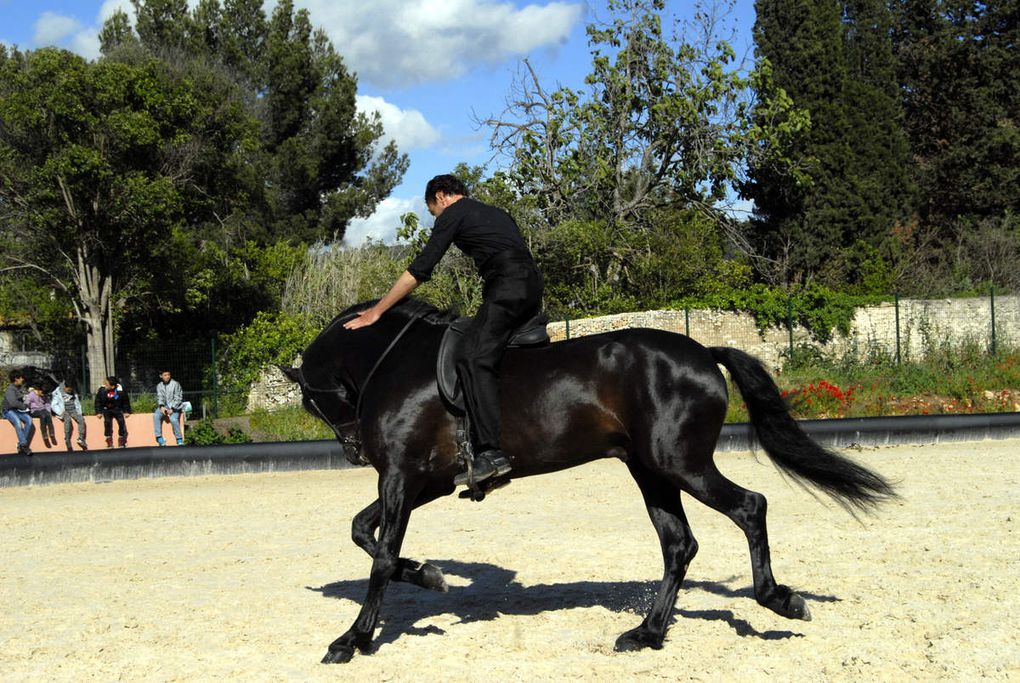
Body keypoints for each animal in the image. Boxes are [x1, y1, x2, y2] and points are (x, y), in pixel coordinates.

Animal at [281, 299, 893, 664]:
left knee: (750, 507)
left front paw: (353, 639)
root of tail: (700, 351)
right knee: (679, 544)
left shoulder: (401, 476)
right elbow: (362, 532)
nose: (354, 451)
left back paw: (779, 601)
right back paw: (646, 634)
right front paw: (430, 576)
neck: (395, 363)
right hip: (650, 470)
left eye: (313, 400)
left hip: (678, 464)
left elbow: (381, 556)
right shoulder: (422, 481)